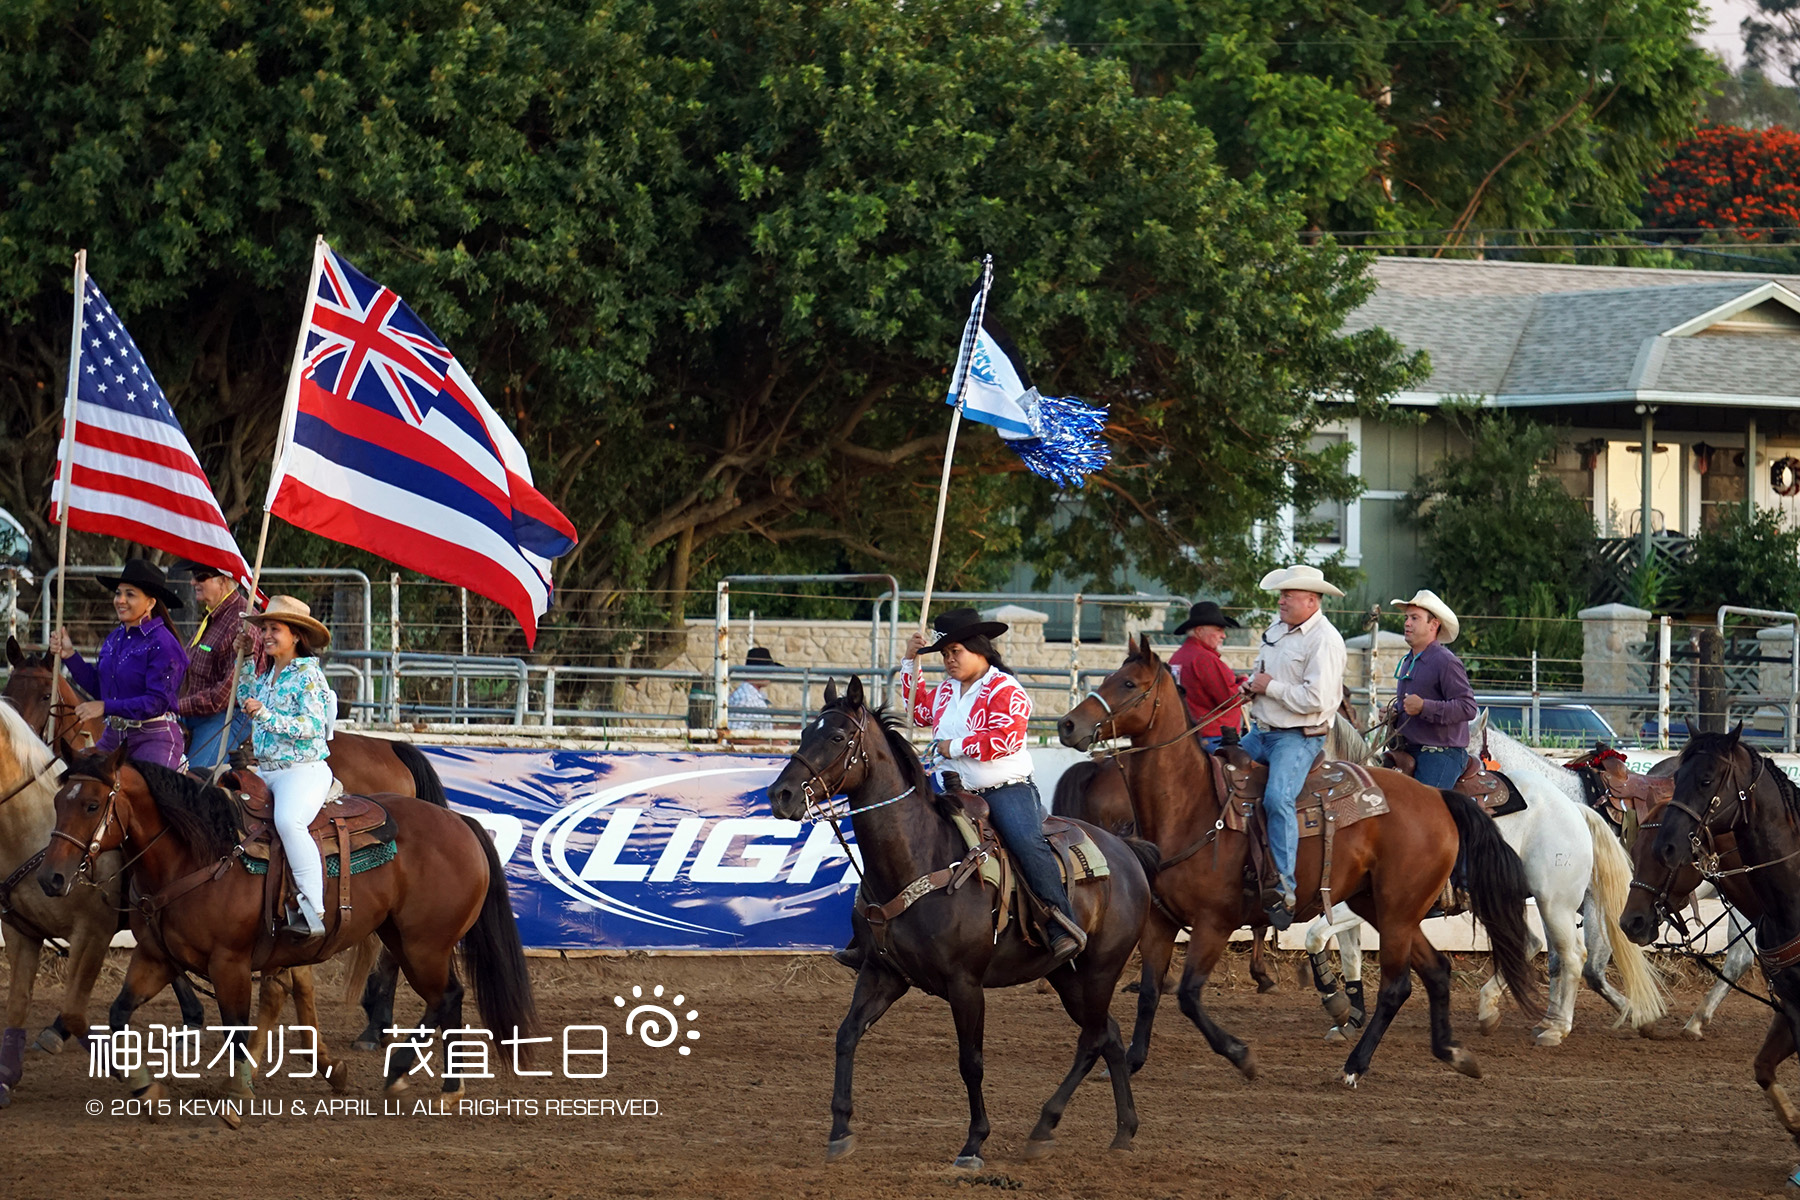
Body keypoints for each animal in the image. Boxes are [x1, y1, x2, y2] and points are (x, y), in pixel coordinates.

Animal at [36, 744, 532, 1122]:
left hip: (423, 943)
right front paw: (146, 1089)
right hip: (405, 937)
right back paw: (431, 1081)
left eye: (92, 805)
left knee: (446, 995)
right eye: (59, 802)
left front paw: (236, 1098)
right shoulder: (157, 958)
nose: (51, 878)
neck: (199, 854)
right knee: (446, 998)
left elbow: (237, 1029)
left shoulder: (230, 963)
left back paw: (415, 1076)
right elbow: (118, 1014)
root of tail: (462, 823)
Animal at [763, 680, 1159, 1165]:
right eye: (804, 733)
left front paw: (974, 1142)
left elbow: (971, 1061)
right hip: (1067, 975)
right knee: (1108, 1035)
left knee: (1092, 1038)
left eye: (837, 737)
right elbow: (846, 1035)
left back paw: (1046, 1125)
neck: (919, 855)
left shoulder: (965, 984)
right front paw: (839, 1130)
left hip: (1101, 968)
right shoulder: (883, 973)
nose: (780, 795)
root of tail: (1127, 852)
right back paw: (1120, 1130)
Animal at [1051, 636, 1548, 1086]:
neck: (1193, 808)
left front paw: (1242, 1056)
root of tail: (1438, 798)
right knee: (1438, 973)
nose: (1067, 725)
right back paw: (1452, 1052)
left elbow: (1189, 996)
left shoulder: (1213, 923)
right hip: (1382, 907)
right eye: (1109, 676)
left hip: (1398, 909)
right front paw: (1132, 1061)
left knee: (1398, 986)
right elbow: (1151, 993)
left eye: (1128, 683)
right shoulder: (1159, 922)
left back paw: (1355, 1066)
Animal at [1303, 712, 1663, 1043]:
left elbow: (1314, 937)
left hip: (1555, 901)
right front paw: (1350, 1017)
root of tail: (1574, 808)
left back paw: (1557, 1027)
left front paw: (1335, 1001)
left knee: (1573, 956)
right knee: (1539, 946)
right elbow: (1348, 954)